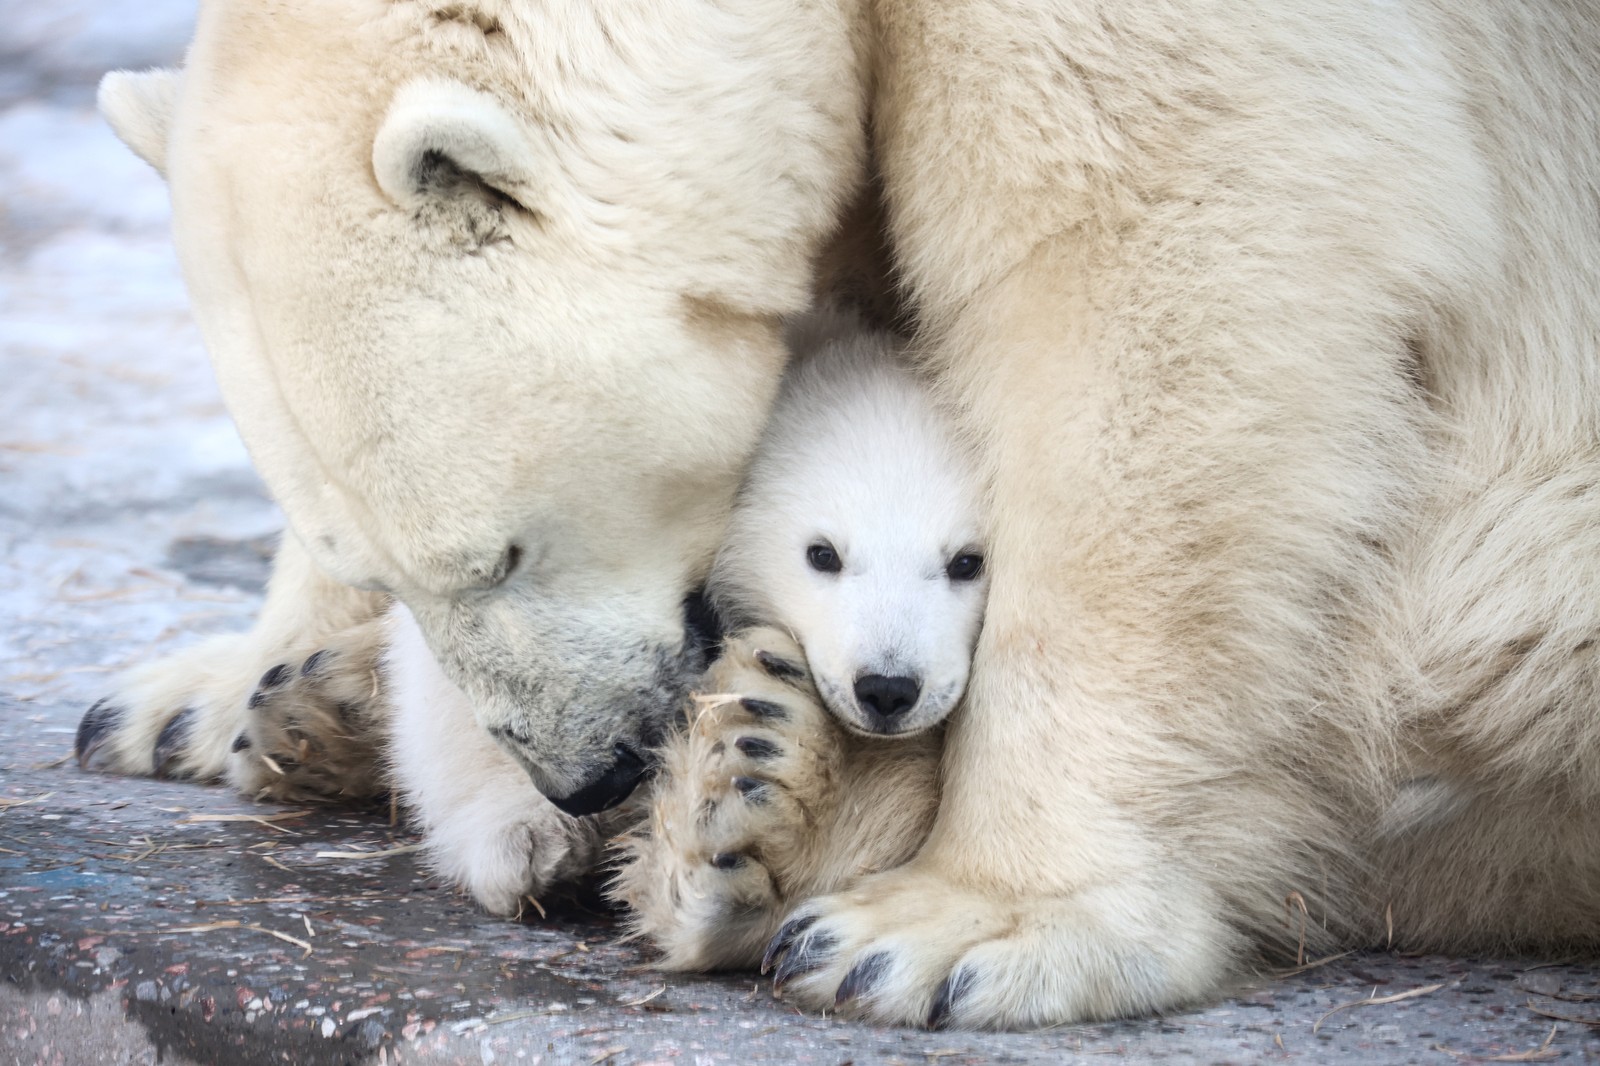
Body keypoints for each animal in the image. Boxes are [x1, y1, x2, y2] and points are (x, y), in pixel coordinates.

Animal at [82, 0, 1600, 1030]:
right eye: (389, 561)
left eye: (499, 548)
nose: (587, 773)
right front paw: (208, 694)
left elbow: (1168, 272)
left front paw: (959, 925)